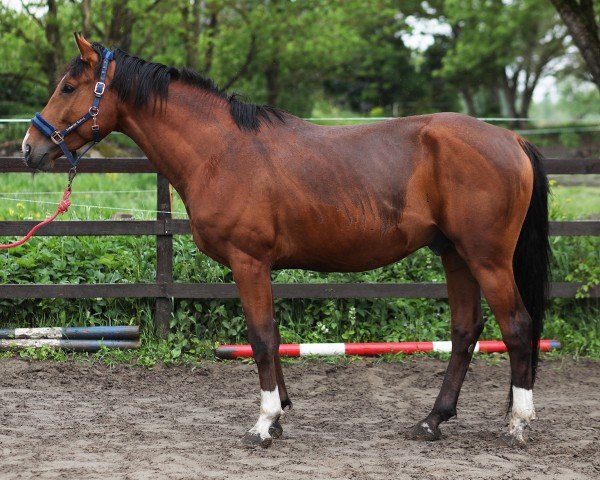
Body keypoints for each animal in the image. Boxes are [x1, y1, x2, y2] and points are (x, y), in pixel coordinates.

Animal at [22, 34, 548, 450]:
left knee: (517, 327)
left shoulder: (248, 263)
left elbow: (260, 338)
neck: (221, 151)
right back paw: (433, 420)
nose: (30, 147)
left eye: (68, 87)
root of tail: (511, 140)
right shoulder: (260, 268)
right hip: (455, 255)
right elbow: (273, 338)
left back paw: (518, 424)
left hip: (487, 259)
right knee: (465, 331)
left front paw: (264, 423)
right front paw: (278, 417)